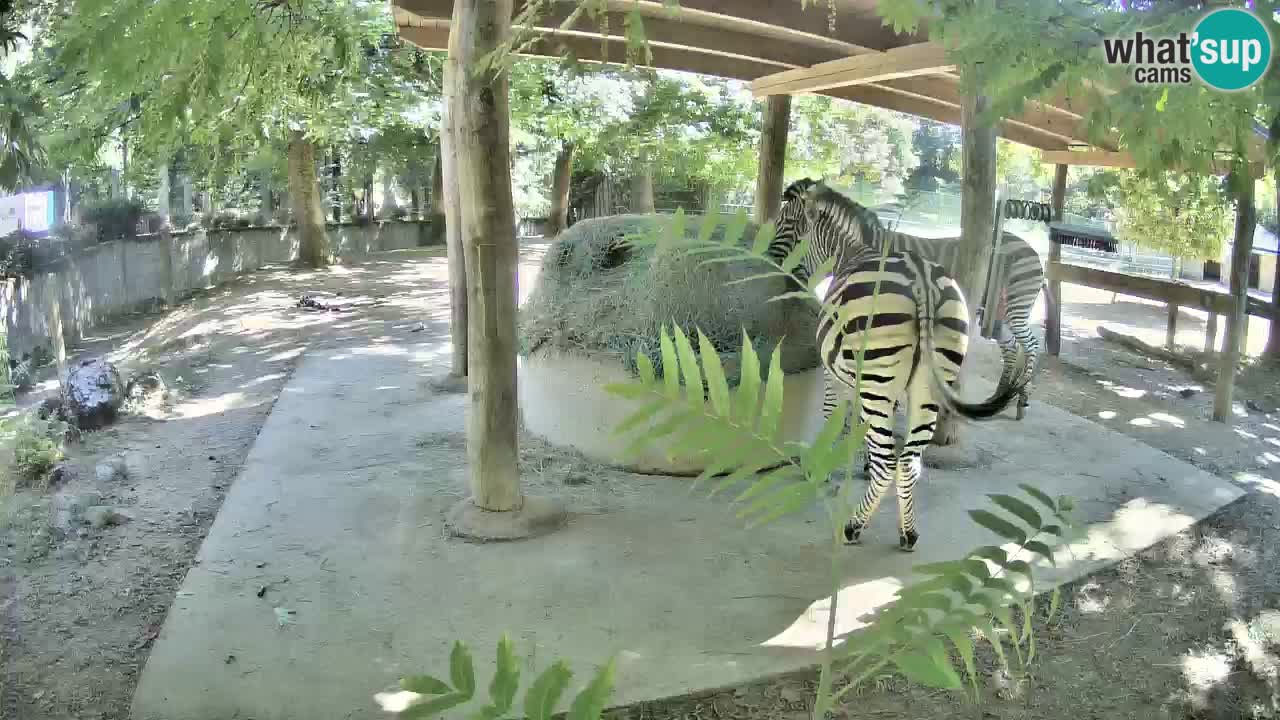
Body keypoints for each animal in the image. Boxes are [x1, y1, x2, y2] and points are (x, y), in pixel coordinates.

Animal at [767, 178, 1044, 421]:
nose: (770, 257)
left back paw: (1022, 401)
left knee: (1030, 344)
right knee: (1011, 346)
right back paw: (1001, 393)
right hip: (998, 314)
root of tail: (1029, 247)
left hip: (1016, 305)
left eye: (788, 221)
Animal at [799, 181, 1024, 551]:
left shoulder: (838, 378)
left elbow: (834, 416)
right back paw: (908, 533)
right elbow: (863, 429)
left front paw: (824, 463)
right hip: (926, 386)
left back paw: (853, 528)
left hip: (880, 380)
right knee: (908, 461)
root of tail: (922, 280)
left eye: (797, 233)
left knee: (889, 462)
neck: (853, 251)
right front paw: (855, 459)